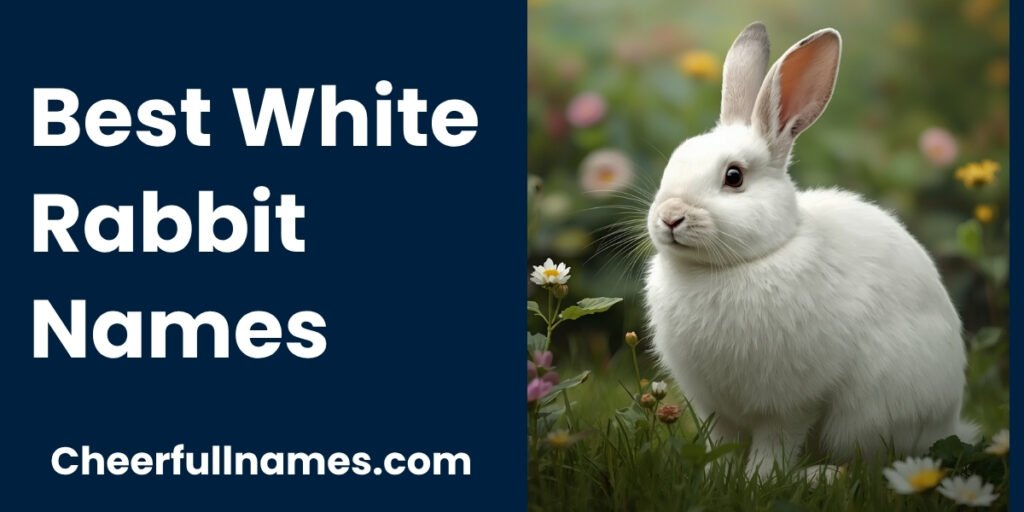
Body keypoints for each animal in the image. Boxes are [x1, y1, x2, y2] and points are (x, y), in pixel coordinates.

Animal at [644, 22, 977, 479]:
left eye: (734, 177)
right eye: (671, 164)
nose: (670, 217)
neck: (733, 266)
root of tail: (950, 422)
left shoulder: (792, 403)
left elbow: (776, 444)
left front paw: (758, 481)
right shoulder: (716, 408)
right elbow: (721, 444)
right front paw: (715, 478)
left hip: (870, 416)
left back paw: (820, 476)